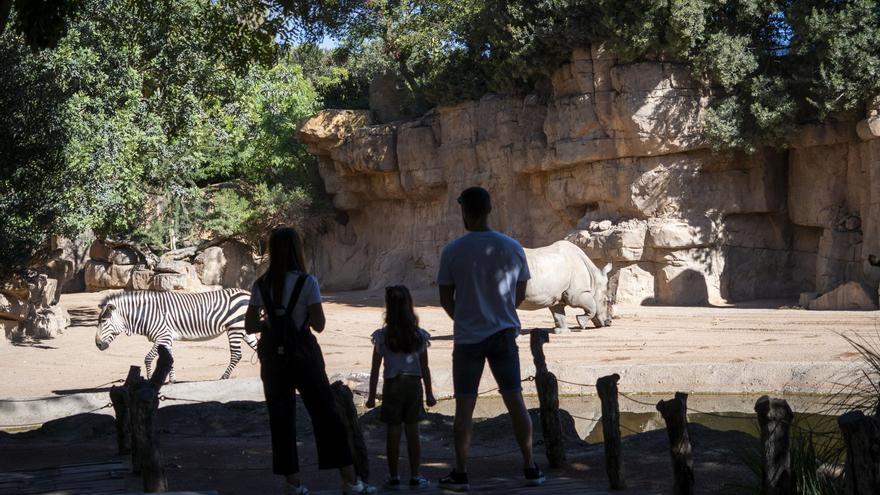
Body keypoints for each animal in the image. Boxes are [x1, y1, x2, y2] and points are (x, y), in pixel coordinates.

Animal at [95, 288, 256, 382]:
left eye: (103, 321)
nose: (98, 344)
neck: (147, 314)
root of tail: (248, 293)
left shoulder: (162, 336)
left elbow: (148, 358)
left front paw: (149, 380)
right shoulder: (167, 339)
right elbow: (169, 359)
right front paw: (172, 381)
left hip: (235, 327)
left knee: (236, 354)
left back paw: (224, 377)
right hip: (244, 329)